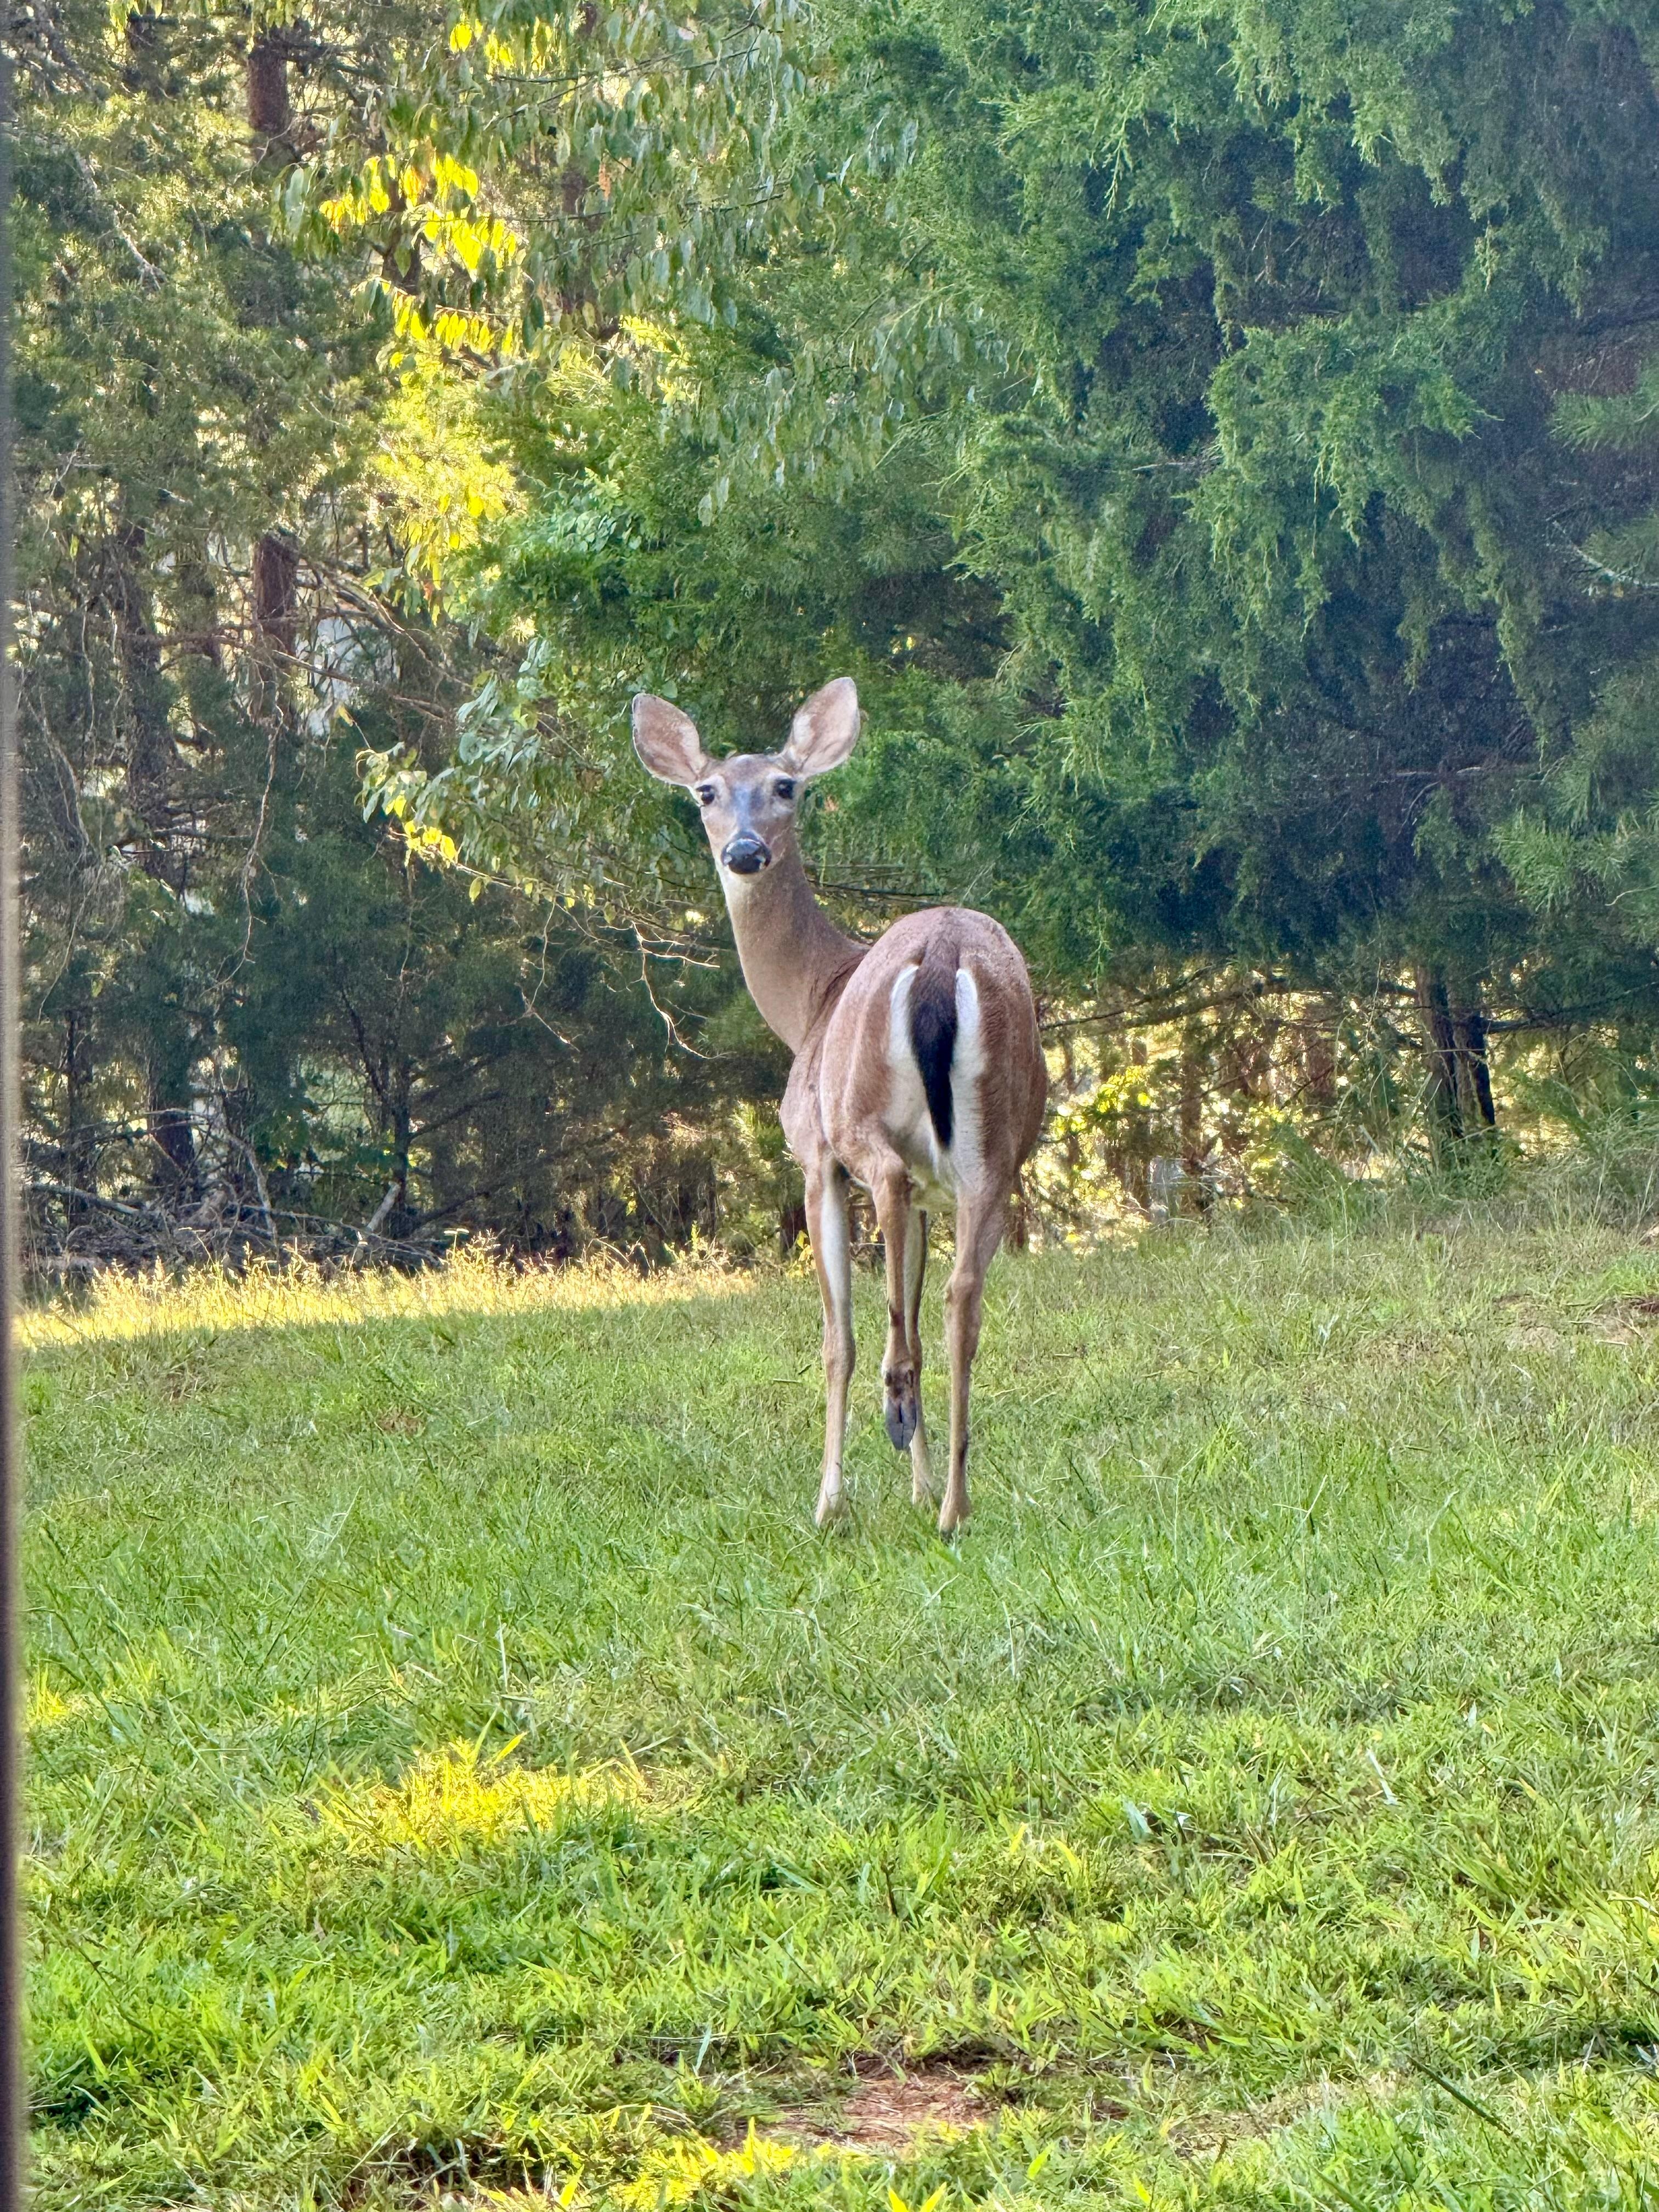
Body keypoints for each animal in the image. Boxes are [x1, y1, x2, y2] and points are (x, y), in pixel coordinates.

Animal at [632, 676, 1047, 1534]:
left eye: (785, 786)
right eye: (707, 792)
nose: (744, 850)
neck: (810, 1001)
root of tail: (944, 957)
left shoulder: (813, 1157)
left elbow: (835, 1337)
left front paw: (830, 1499)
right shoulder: (932, 1193)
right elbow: (913, 1293)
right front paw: (918, 1486)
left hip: (860, 1118)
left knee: (885, 1212)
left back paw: (896, 1409)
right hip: (997, 1144)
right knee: (961, 1297)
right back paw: (952, 1504)